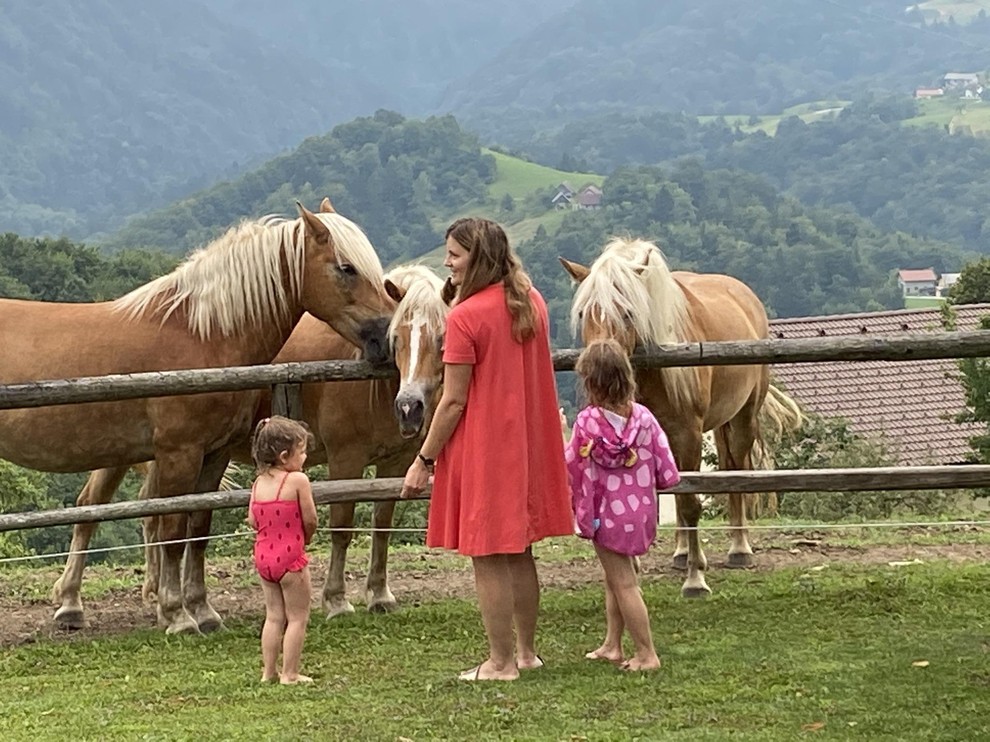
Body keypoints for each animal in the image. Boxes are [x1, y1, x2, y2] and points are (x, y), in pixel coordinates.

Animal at [6, 202, 396, 632]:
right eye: (347, 268)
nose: (388, 336)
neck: (201, 334)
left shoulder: (214, 453)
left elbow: (198, 527)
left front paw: (202, 610)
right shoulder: (180, 452)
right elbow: (173, 529)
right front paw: (177, 614)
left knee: (90, 507)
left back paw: (72, 605)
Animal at [560, 238, 804, 600]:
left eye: (628, 312)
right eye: (582, 313)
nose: (597, 372)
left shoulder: (688, 434)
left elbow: (690, 503)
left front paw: (695, 580)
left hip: (742, 419)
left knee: (735, 473)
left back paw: (739, 548)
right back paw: (681, 553)